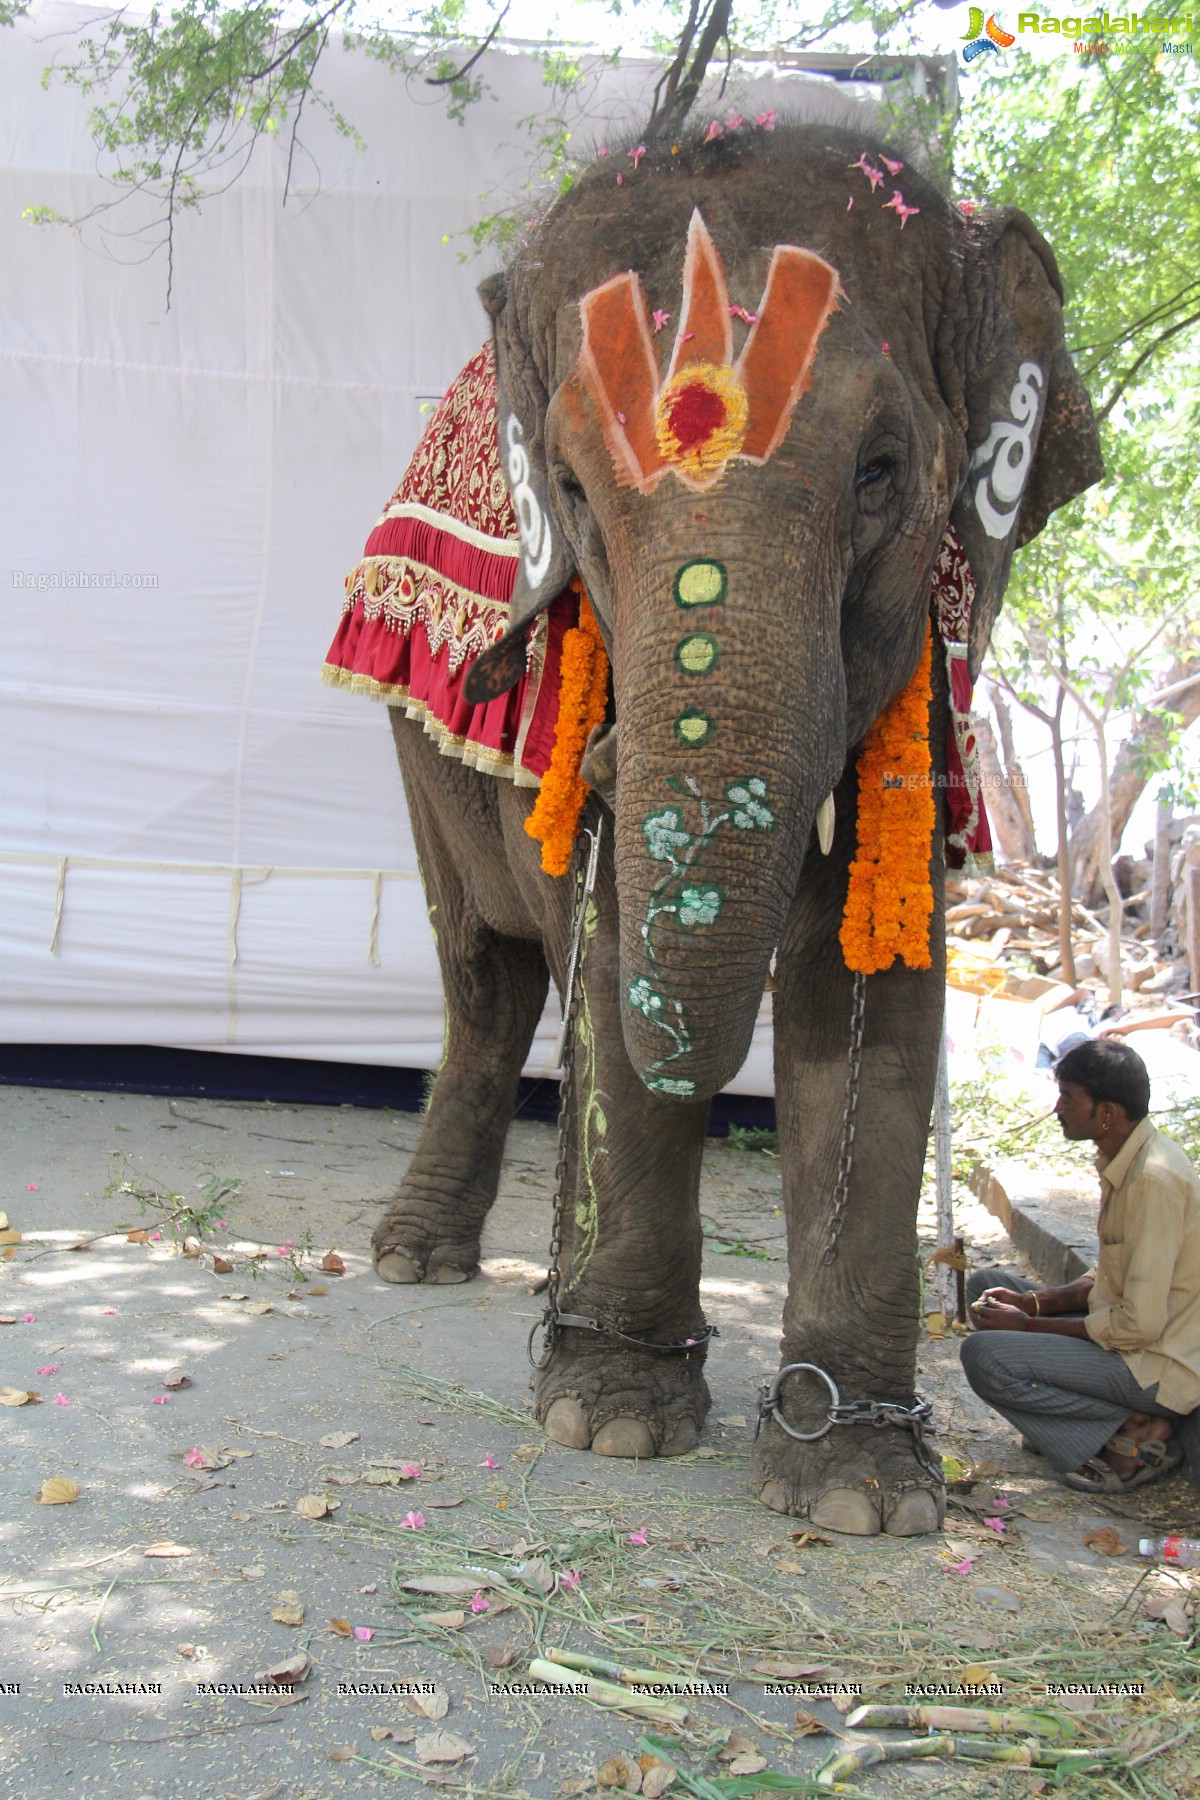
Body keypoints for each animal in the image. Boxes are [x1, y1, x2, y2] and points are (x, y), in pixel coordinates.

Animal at [323, 119, 1101, 1540]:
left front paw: (858, 1494)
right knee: (487, 974)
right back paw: (417, 1262)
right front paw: (611, 1422)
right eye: (570, 490)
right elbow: (606, 961)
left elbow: (874, 996)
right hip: (413, 750)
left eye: (883, 472)